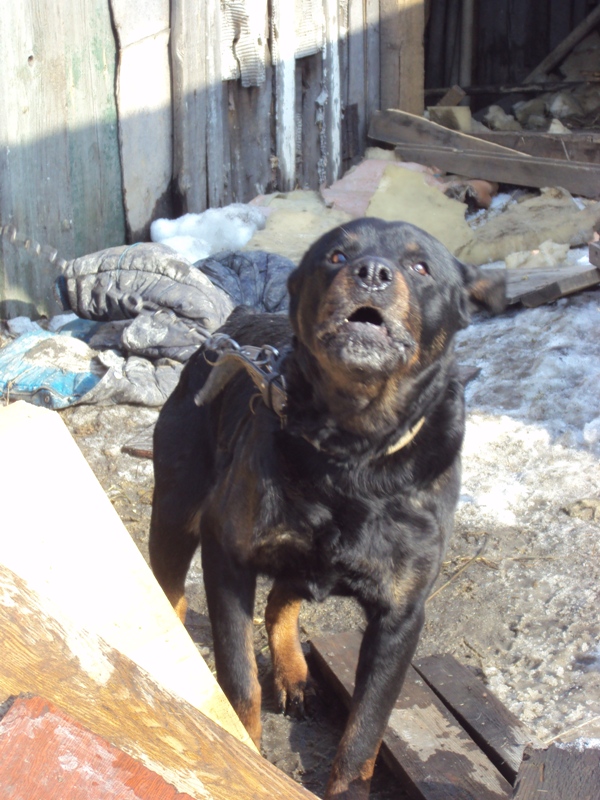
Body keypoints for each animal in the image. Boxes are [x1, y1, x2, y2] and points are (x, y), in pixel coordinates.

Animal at [149, 217, 505, 799]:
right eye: (337, 256)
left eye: (420, 266)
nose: (372, 273)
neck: (351, 454)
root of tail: (235, 322)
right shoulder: (228, 554)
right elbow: (240, 679)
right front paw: (247, 761)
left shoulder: (401, 614)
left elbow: (365, 730)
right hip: (177, 510)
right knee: (170, 591)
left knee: (281, 601)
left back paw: (294, 673)